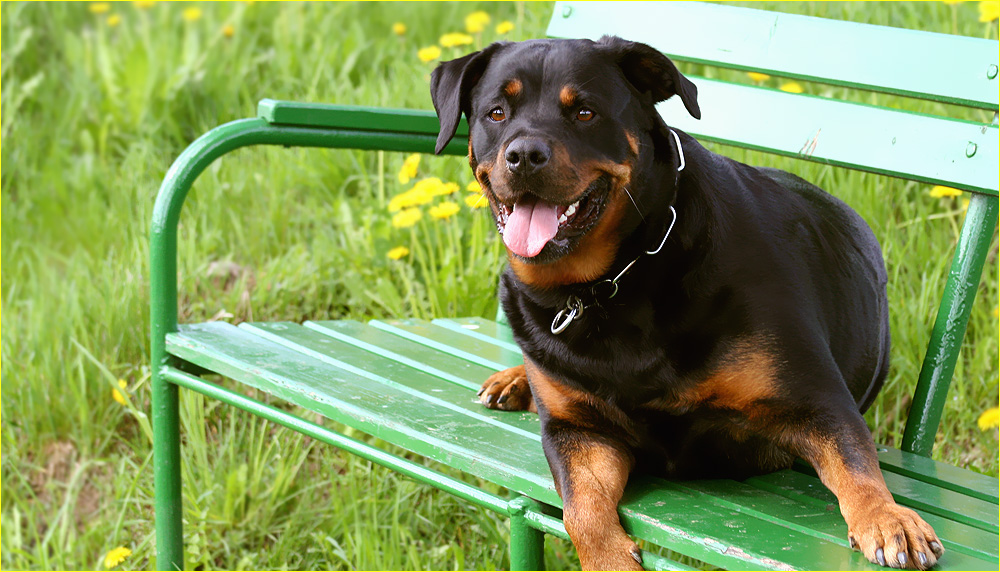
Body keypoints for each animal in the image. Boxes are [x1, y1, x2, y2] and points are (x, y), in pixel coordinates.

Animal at [430, 36, 944, 572]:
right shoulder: (578, 430)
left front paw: (887, 517)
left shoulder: (818, 402)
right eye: (496, 112)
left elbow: (854, 462)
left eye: (585, 112)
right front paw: (610, 558)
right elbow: (582, 510)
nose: (524, 154)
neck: (612, 281)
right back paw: (514, 378)